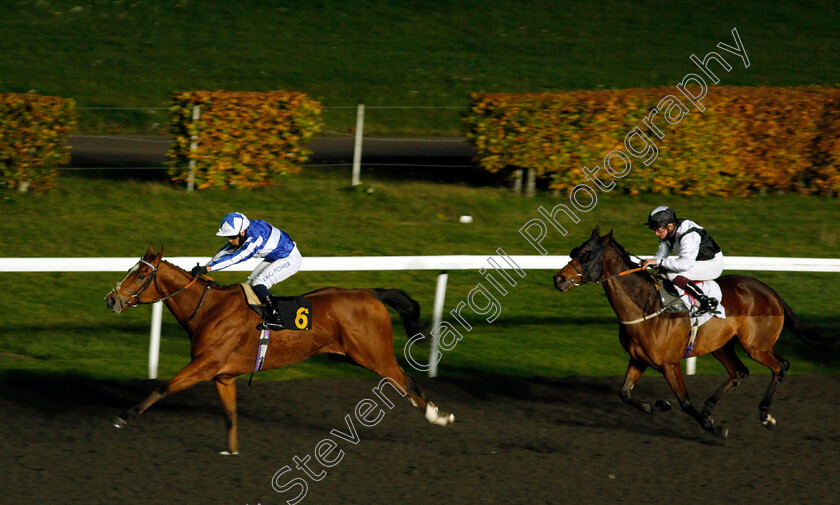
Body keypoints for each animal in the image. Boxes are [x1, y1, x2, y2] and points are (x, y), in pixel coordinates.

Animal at [108, 246, 456, 454]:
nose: (111, 299)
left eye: (141, 274)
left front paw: (124, 416)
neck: (208, 308)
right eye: (130, 270)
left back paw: (438, 416)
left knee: (405, 382)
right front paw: (231, 451)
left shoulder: (206, 363)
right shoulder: (223, 374)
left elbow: (163, 387)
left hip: (374, 355)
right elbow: (230, 415)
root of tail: (370, 293)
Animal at [552, 226, 832, 440]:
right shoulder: (639, 358)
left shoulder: (669, 363)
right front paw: (659, 404)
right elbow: (624, 393)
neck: (646, 305)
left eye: (587, 254)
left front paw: (714, 428)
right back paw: (710, 407)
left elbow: (685, 402)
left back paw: (765, 415)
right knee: (739, 372)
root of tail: (770, 291)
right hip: (721, 345)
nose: (559, 279)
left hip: (756, 345)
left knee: (780, 366)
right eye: (573, 252)